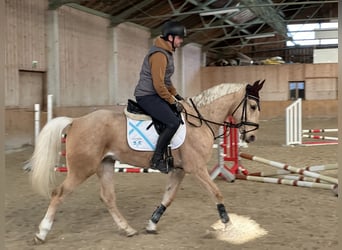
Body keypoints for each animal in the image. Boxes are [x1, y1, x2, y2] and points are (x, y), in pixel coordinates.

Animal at [29, 79, 264, 242]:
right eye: (252, 106)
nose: (252, 137)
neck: (200, 120)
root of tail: (76, 121)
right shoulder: (197, 169)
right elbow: (216, 193)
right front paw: (229, 225)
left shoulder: (179, 170)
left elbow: (168, 198)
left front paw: (151, 225)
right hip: (82, 169)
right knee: (58, 193)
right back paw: (42, 232)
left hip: (105, 165)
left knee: (108, 198)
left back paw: (127, 229)